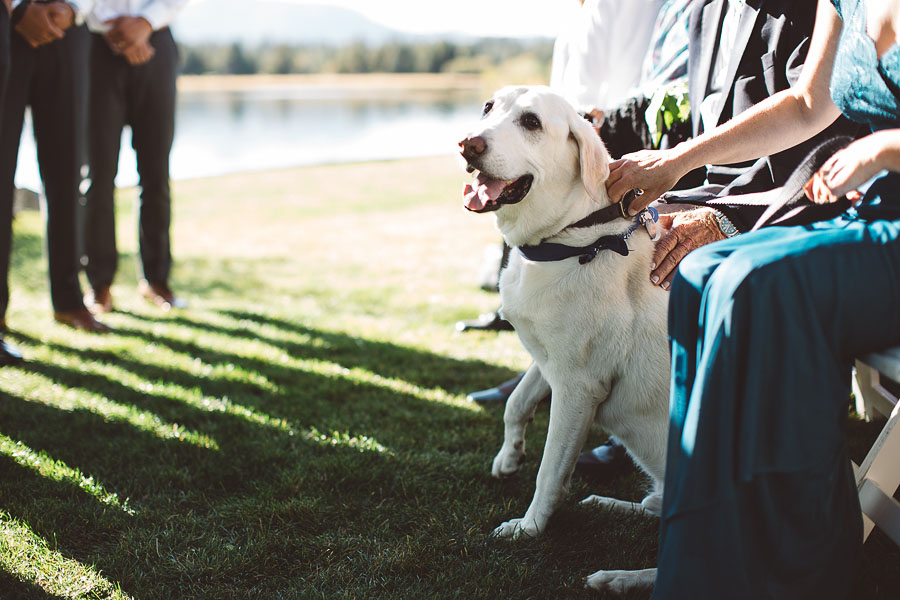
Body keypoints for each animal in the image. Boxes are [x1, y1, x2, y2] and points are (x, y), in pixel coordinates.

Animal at [464, 85, 668, 596]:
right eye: (488, 108)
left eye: (532, 123)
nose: (467, 145)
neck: (570, 241)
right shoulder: (549, 360)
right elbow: (515, 402)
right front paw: (509, 457)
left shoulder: (578, 387)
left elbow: (552, 470)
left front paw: (529, 528)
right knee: (657, 509)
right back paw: (611, 506)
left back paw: (621, 578)